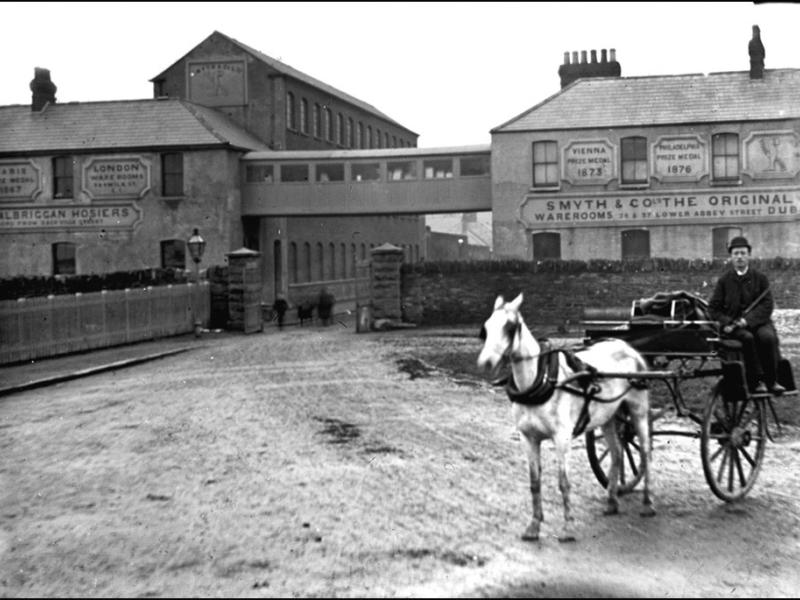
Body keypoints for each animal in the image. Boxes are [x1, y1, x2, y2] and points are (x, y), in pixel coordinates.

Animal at [478, 292, 652, 540]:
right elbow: (535, 482)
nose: (486, 362)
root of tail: (626, 346)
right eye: (485, 328)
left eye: (510, 327)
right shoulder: (528, 438)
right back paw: (611, 501)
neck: (540, 379)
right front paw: (534, 525)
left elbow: (563, 483)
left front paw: (568, 527)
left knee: (645, 453)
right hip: (608, 418)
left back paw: (647, 503)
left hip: (639, 412)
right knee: (618, 453)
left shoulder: (562, 438)